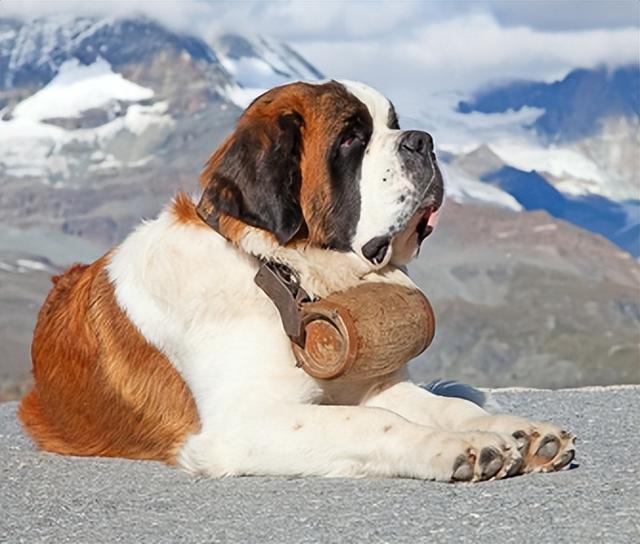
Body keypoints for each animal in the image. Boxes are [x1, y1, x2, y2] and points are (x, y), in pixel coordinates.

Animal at [17, 79, 576, 480]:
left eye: (393, 124)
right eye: (351, 138)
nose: (424, 140)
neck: (281, 275)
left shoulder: (369, 384)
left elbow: (445, 406)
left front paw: (519, 434)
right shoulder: (241, 423)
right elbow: (374, 422)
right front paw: (458, 447)